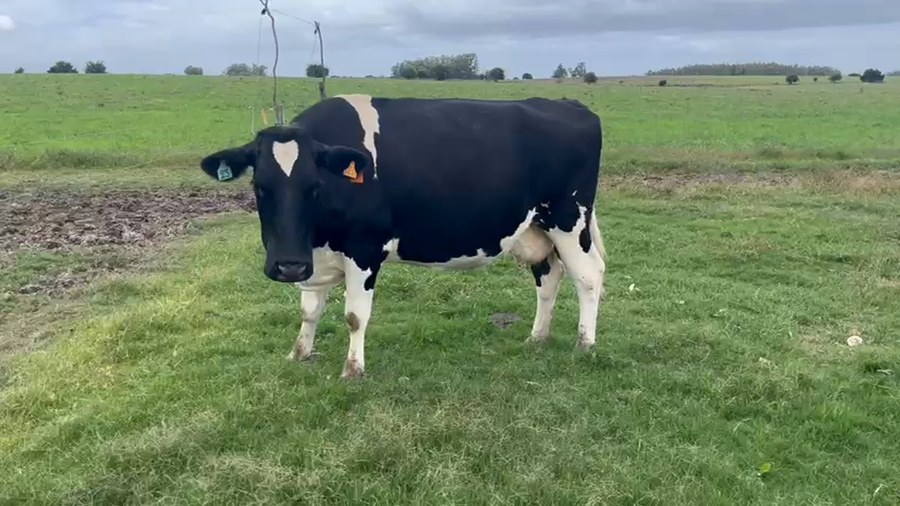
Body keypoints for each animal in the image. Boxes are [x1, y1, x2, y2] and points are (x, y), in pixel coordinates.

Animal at [199, 94, 606, 379]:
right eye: (259, 186)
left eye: (313, 187)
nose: (287, 266)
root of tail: (569, 104)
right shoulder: (314, 254)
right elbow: (309, 310)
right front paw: (299, 354)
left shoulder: (364, 248)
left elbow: (354, 316)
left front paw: (353, 369)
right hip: (536, 227)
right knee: (549, 276)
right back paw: (536, 338)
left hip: (569, 219)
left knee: (589, 275)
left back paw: (585, 344)